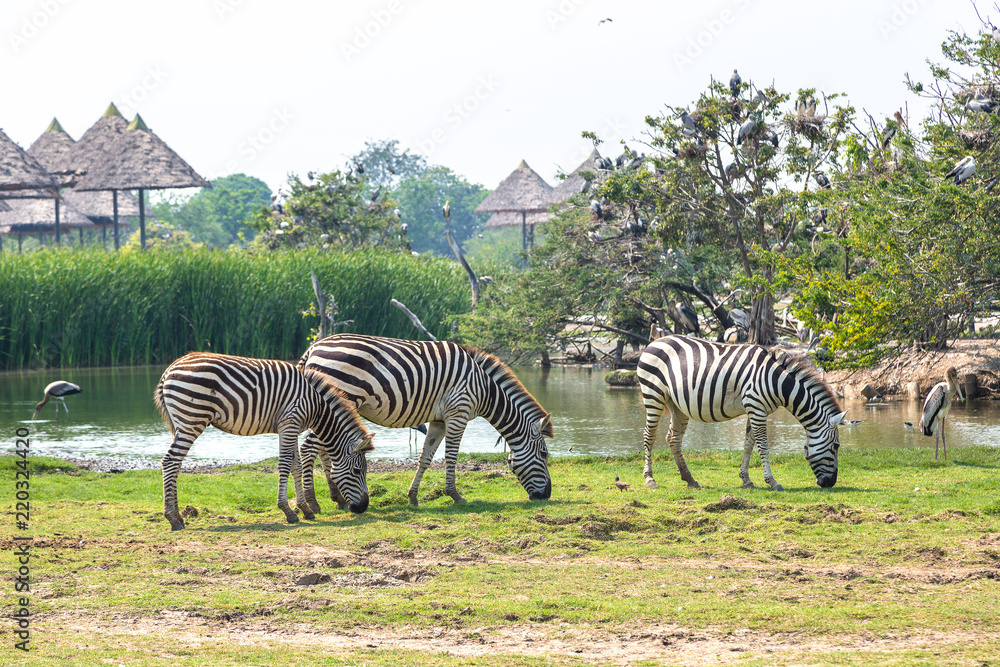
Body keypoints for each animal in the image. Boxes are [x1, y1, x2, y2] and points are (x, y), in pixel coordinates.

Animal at [154, 352, 375, 530]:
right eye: (358, 471)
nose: (363, 507)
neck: (315, 404)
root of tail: (169, 370)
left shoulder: (292, 427)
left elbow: (296, 465)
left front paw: (305, 509)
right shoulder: (289, 422)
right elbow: (285, 464)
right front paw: (288, 511)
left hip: (183, 423)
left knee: (174, 463)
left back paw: (179, 517)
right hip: (192, 420)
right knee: (170, 462)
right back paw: (173, 519)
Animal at [297, 334, 553, 508]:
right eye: (544, 454)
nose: (547, 496)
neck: (485, 388)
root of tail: (313, 347)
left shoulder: (439, 420)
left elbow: (425, 458)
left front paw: (413, 497)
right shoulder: (458, 413)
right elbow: (451, 457)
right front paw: (455, 495)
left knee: (324, 448)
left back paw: (338, 499)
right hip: (338, 399)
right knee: (309, 448)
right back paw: (313, 503)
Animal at [636, 335, 847, 491]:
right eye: (836, 446)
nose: (831, 483)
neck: (777, 381)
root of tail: (655, 341)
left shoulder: (757, 409)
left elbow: (748, 445)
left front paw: (746, 479)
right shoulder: (756, 406)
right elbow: (763, 446)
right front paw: (772, 482)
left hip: (676, 404)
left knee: (673, 438)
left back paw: (690, 479)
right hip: (653, 394)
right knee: (649, 435)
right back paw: (649, 479)